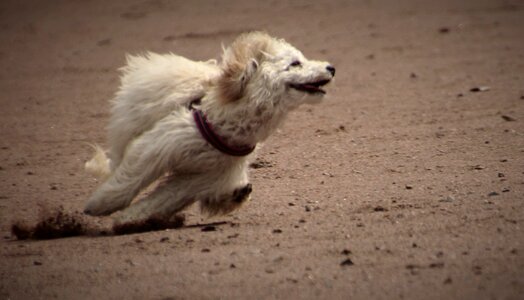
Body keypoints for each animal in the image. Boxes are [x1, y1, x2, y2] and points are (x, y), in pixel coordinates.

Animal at [82, 31, 336, 224]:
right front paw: (99, 205)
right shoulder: (156, 147)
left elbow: (164, 198)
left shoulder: (202, 177)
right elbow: (128, 181)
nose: (331, 67)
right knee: (117, 163)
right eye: (295, 63)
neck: (225, 119)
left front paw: (130, 218)